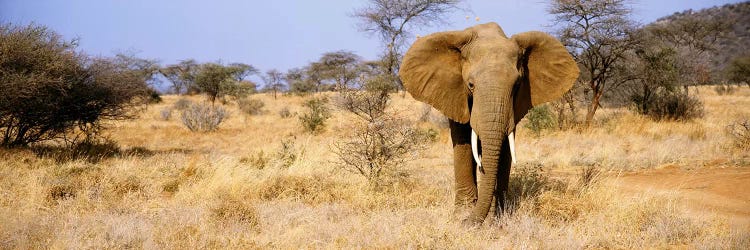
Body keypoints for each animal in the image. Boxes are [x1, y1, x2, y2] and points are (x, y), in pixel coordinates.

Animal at [402, 22, 580, 225]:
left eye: (517, 85)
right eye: (470, 85)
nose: (468, 222)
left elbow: (504, 147)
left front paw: (494, 216)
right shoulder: (455, 94)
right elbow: (463, 143)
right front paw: (462, 214)